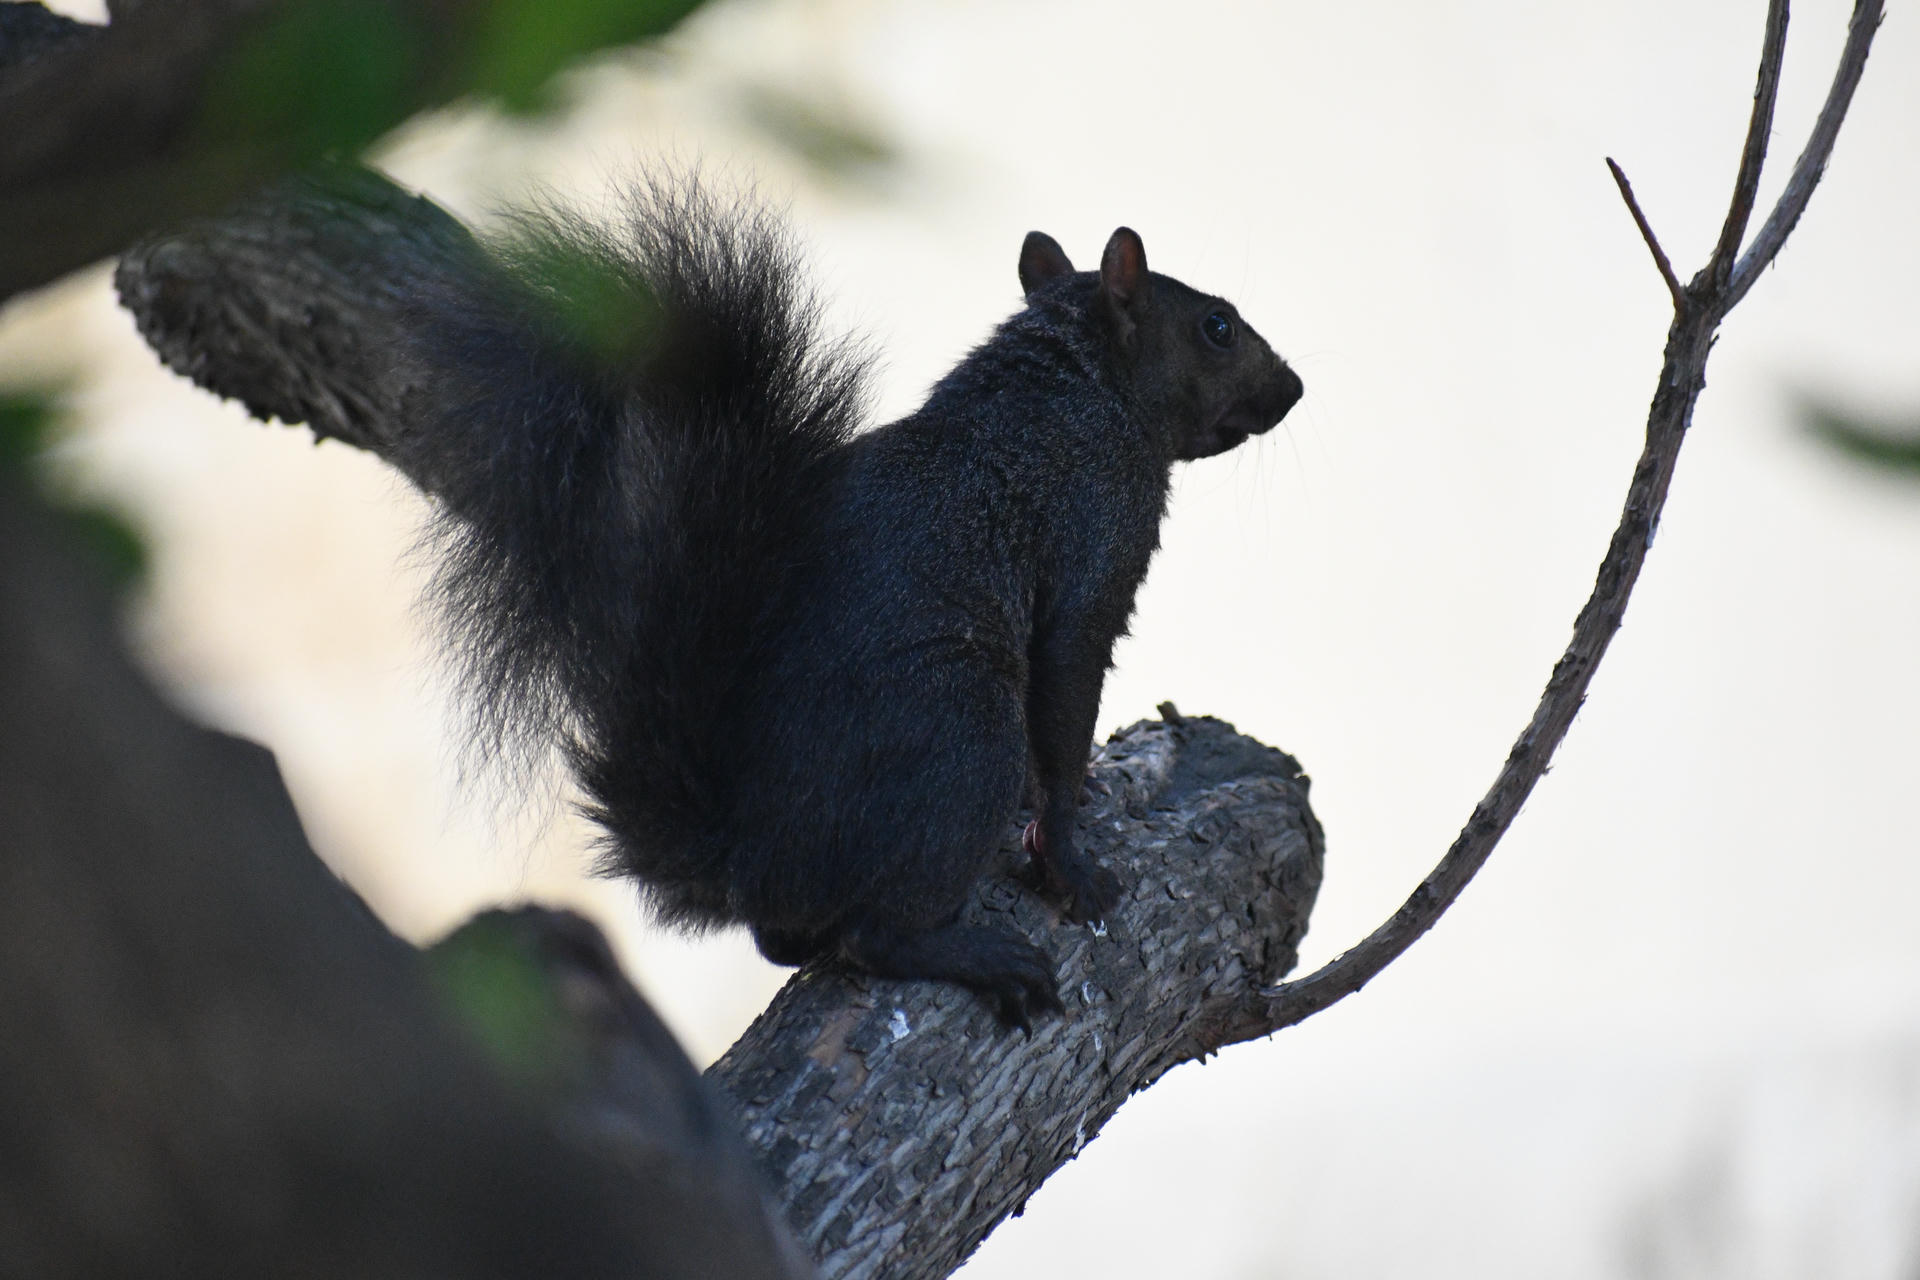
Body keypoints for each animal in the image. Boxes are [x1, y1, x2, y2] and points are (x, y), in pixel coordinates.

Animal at [394, 180, 1303, 1025]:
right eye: (1217, 327)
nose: (1293, 386)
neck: (1085, 388)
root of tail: (747, 862)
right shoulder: (1094, 544)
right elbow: (1066, 709)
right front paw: (1069, 857)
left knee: (784, 941)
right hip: (966, 735)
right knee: (872, 933)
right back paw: (976, 955)